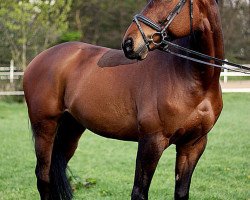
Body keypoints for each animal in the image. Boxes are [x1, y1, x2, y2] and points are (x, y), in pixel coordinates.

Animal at [23, 0, 223, 198]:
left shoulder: (193, 145)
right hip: (45, 127)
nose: (128, 43)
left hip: (71, 128)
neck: (195, 80)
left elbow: (181, 192)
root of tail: (39, 58)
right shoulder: (151, 141)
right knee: (43, 177)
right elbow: (139, 192)